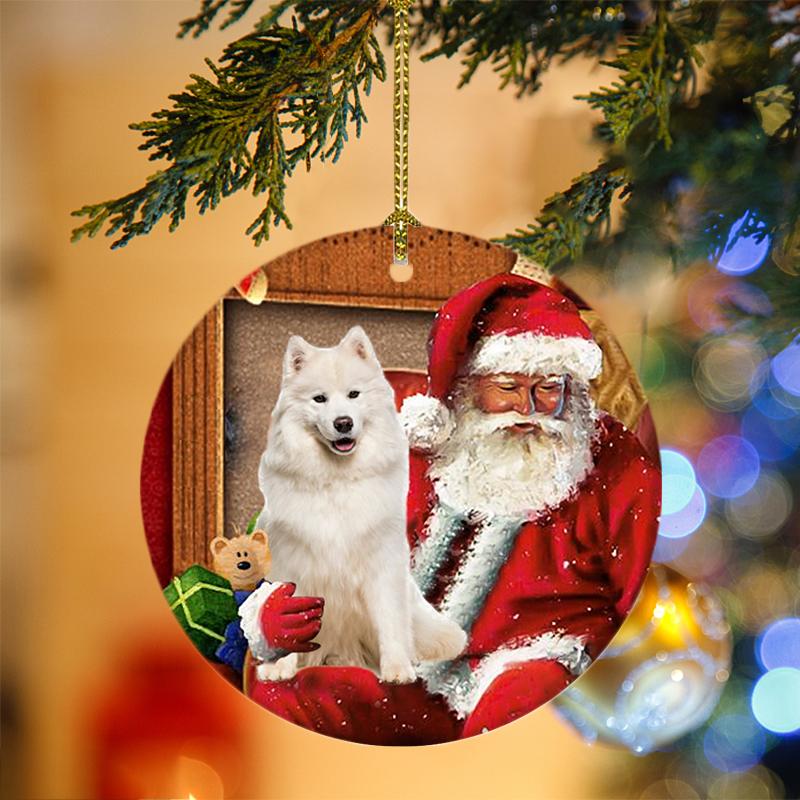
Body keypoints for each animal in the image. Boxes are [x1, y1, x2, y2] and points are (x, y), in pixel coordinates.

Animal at [247, 328, 466, 684]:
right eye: (319, 399)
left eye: (353, 395)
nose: (343, 423)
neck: (336, 480)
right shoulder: (292, 562)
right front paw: (280, 667)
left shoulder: (382, 564)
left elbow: (389, 622)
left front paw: (396, 669)